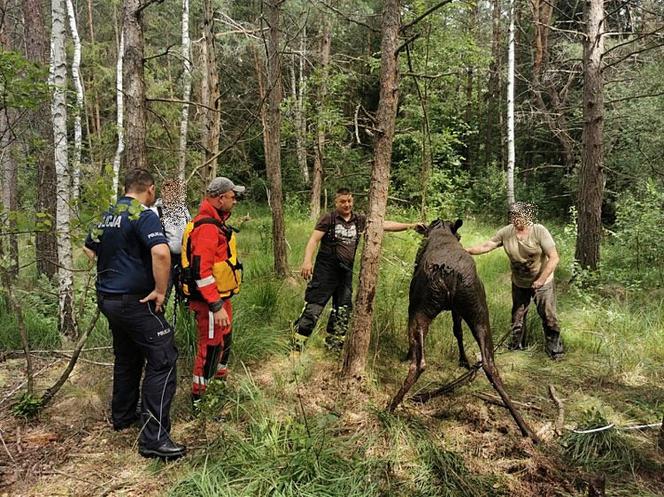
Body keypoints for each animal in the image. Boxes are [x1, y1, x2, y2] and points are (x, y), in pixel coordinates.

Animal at [386, 217, 536, 438]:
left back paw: (391, 406)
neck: (440, 230)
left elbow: (455, 332)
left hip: (417, 309)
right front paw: (463, 360)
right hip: (479, 313)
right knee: (489, 363)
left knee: (419, 362)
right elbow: (458, 333)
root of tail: (448, 272)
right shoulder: (458, 310)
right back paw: (527, 429)